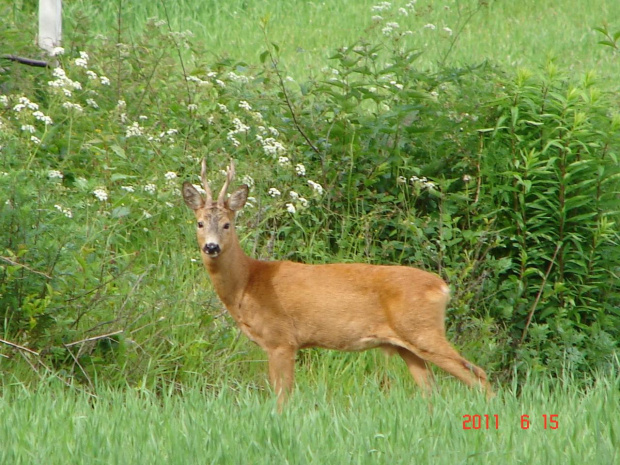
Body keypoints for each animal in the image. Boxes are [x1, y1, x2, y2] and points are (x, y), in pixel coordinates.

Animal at [180, 158, 494, 404]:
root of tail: (442, 287)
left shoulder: (281, 339)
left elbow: (282, 398)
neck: (249, 283)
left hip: (424, 331)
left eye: (227, 224)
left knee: (478, 375)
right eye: (199, 223)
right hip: (408, 345)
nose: (211, 247)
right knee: (432, 390)